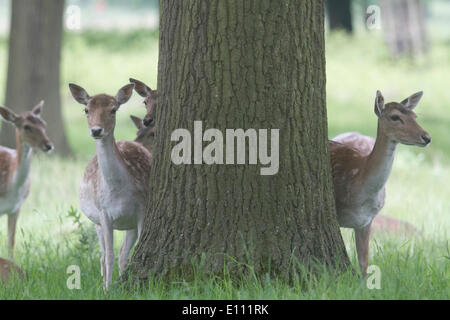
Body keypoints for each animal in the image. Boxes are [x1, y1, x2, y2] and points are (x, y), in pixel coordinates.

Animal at [69, 83, 153, 290]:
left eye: (113, 109)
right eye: (86, 110)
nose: (96, 130)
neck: (118, 191)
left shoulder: (141, 209)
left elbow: (129, 252)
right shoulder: (103, 213)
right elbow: (109, 256)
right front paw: (107, 290)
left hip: (128, 224)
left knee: (123, 254)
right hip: (96, 222)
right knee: (102, 255)